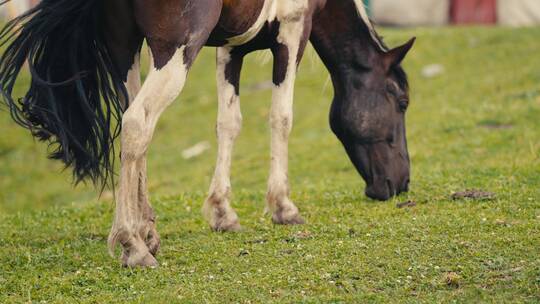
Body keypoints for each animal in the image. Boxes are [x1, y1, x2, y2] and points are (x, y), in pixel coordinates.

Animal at [0, 0, 416, 266]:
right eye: (401, 102)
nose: (401, 183)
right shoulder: (292, 33)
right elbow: (281, 117)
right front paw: (283, 206)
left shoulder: (232, 47)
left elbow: (228, 123)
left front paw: (222, 212)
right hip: (175, 50)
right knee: (138, 124)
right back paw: (133, 244)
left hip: (126, 51)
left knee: (134, 129)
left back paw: (146, 231)